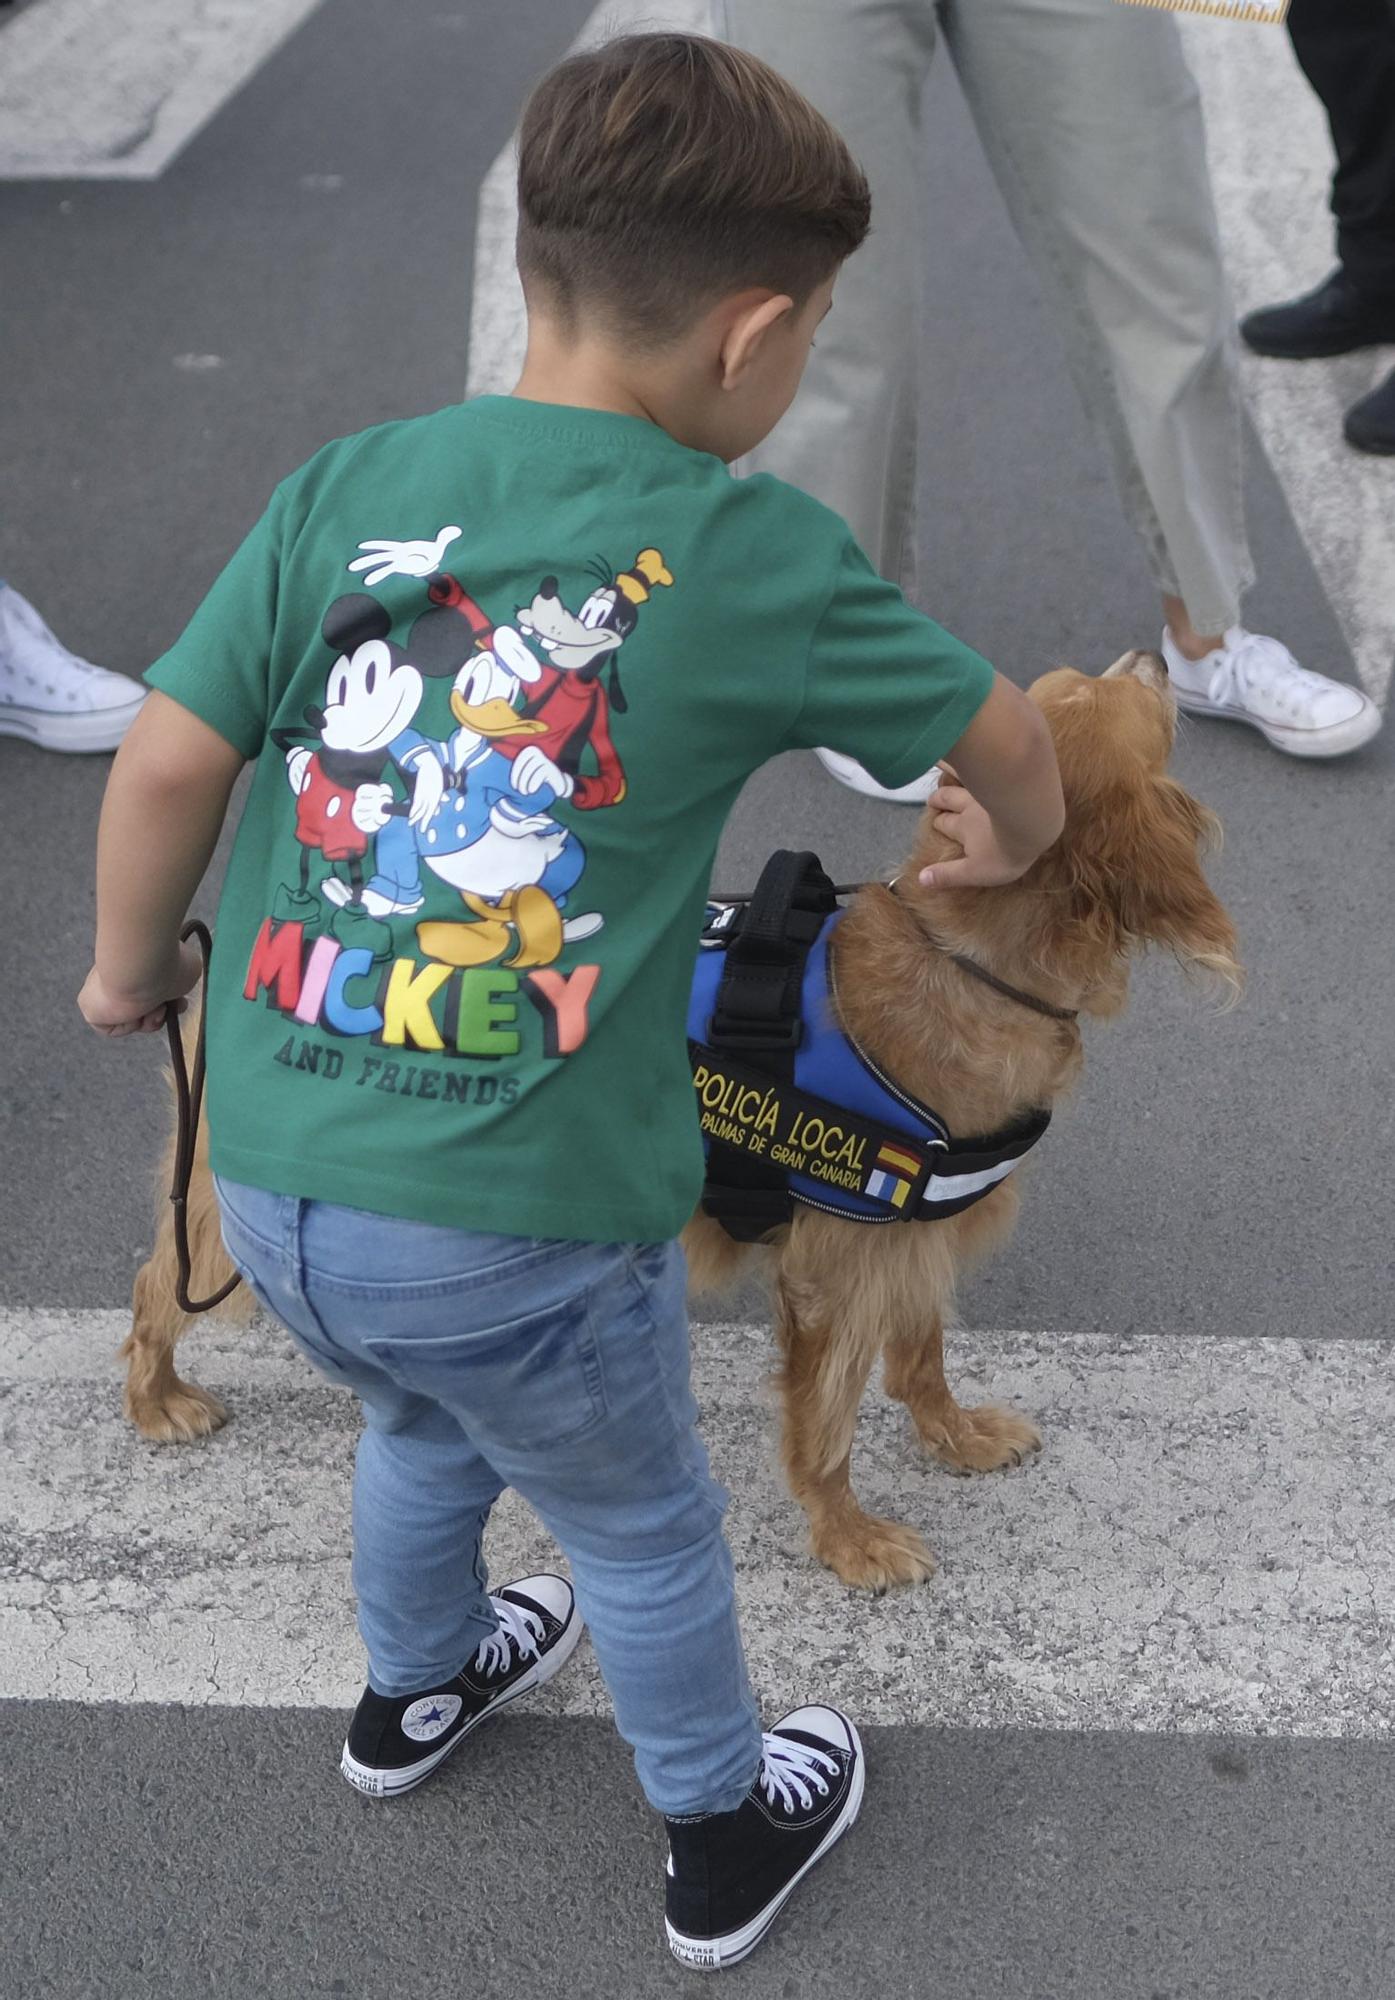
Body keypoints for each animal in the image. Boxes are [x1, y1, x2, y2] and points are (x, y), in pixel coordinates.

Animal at [122, 656, 1231, 1592]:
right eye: (1109, 692)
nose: (1151, 656)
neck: (959, 961)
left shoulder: (910, 1237)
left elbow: (921, 1357)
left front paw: (950, 1435)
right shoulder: (835, 1267)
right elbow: (827, 1423)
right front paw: (846, 1535)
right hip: (241, 1191)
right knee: (155, 1284)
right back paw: (154, 1396)